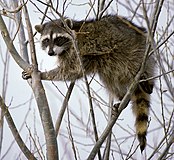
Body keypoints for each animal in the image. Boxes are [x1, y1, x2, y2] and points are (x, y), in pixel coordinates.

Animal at [22, 15, 154, 152]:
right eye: (46, 40)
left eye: (58, 39)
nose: (51, 53)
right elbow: (74, 71)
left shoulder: (78, 49)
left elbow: (72, 70)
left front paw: (42, 74)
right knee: (108, 77)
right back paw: (122, 96)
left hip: (135, 51)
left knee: (131, 64)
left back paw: (146, 83)